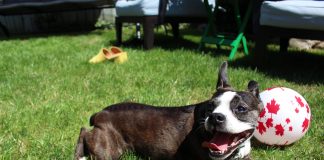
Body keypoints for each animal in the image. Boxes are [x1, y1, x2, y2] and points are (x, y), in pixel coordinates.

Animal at [74, 61, 262, 160]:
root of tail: (100, 114)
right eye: (210, 107)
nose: (216, 117)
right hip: (108, 148)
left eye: (241, 109)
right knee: (85, 132)